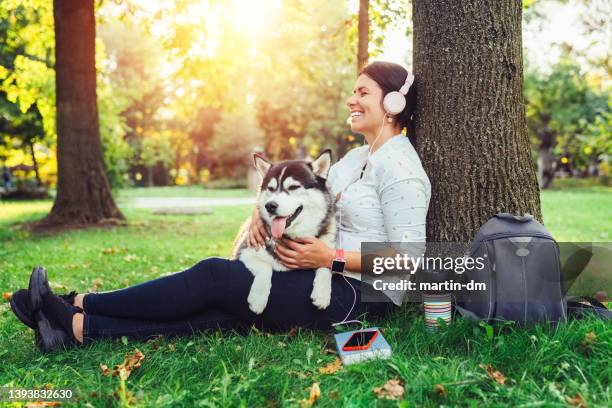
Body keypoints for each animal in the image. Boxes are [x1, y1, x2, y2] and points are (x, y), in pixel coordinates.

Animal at [231, 151, 334, 314]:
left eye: (293, 187)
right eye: (271, 188)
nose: (270, 206)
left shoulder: (326, 249)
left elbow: (326, 267)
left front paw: (322, 294)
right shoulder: (243, 252)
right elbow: (265, 267)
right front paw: (258, 299)